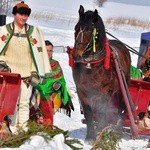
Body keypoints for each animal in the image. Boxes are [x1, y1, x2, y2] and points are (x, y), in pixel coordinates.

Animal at [69, 4, 131, 141]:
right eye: (76, 27)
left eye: (88, 30)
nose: (76, 55)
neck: (92, 65)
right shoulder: (83, 91)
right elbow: (89, 113)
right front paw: (90, 136)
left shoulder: (105, 92)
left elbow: (102, 111)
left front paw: (99, 132)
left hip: (122, 90)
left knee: (121, 109)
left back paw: (117, 131)